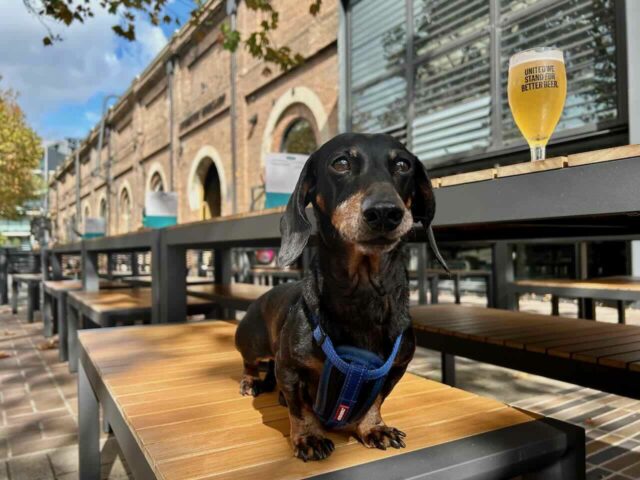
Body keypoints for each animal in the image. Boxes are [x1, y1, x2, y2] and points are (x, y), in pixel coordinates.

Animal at [234, 132, 444, 462]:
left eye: (402, 165)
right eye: (341, 163)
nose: (385, 212)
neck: (363, 294)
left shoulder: (396, 368)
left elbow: (376, 400)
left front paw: (374, 428)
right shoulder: (289, 367)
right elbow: (300, 408)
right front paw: (309, 437)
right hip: (252, 341)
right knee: (250, 361)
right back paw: (251, 380)